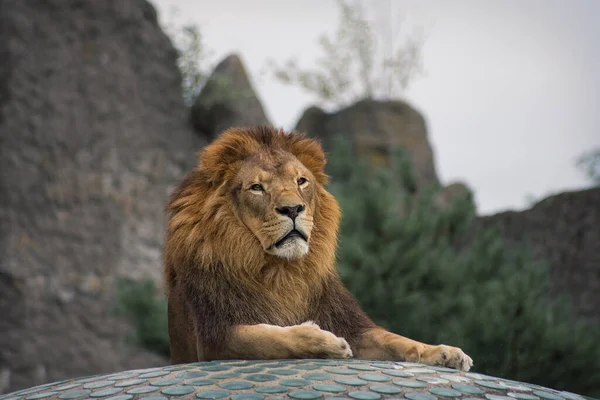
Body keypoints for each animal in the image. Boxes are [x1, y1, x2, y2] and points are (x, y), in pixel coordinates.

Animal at [164, 126, 474, 370]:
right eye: (257, 188)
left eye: (301, 181)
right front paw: (325, 342)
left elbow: (395, 339)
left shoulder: (349, 322)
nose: (292, 209)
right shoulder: (214, 338)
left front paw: (444, 352)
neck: (281, 269)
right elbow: (270, 336)